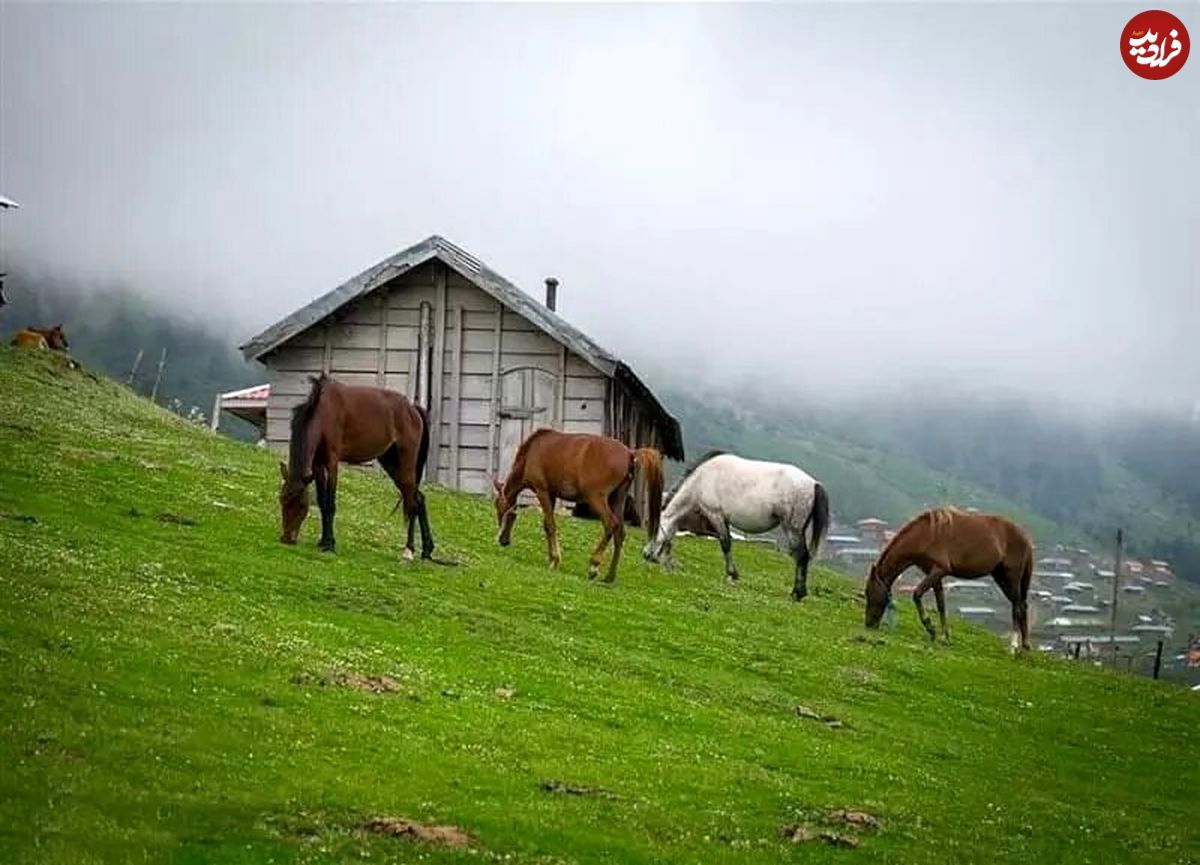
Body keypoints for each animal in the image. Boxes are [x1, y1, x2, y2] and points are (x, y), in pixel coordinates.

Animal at [277, 374, 436, 556]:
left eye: (302, 505)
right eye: (282, 499)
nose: (287, 538)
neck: (322, 413)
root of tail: (413, 409)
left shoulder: (332, 462)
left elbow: (330, 504)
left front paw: (329, 545)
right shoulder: (317, 465)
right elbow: (322, 502)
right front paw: (324, 540)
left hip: (406, 462)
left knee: (412, 503)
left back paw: (408, 550)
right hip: (391, 463)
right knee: (418, 498)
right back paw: (426, 549)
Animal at [494, 427, 672, 580]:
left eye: (498, 508)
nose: (503, 540)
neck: (532, 451)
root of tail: (630, 453)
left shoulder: (542, 491)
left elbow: (550, 525)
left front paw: (554, 559)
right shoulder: (551, 495)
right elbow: (548, 524)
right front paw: (553, 558)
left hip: (597, 499)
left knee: (611, 525)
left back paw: (594, 566)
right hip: (617, 500)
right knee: (620, 533)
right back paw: (610, 576)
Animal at [648, 451, 825, 599]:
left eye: (655, 530)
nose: (646, 554)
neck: (701, 479)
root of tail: (813, 483)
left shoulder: (716, 515)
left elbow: (726, 544)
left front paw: (731, 574)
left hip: (792, 529)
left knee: (801, 556)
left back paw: (797, 593)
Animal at [864, 506, 1032, 647]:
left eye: (869, 594)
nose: (868, 624)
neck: (928, 534)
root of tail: (1025, 537)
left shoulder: (940, 569)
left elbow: (917, 594)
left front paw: (930, 627)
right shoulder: (933, 573)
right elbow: (941, 604)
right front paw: (944, 636)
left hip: (1012, 576)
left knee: (1017, 606)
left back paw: (1013, 646)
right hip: (1000, 577)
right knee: (1021, 605)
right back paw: (1024, 645)